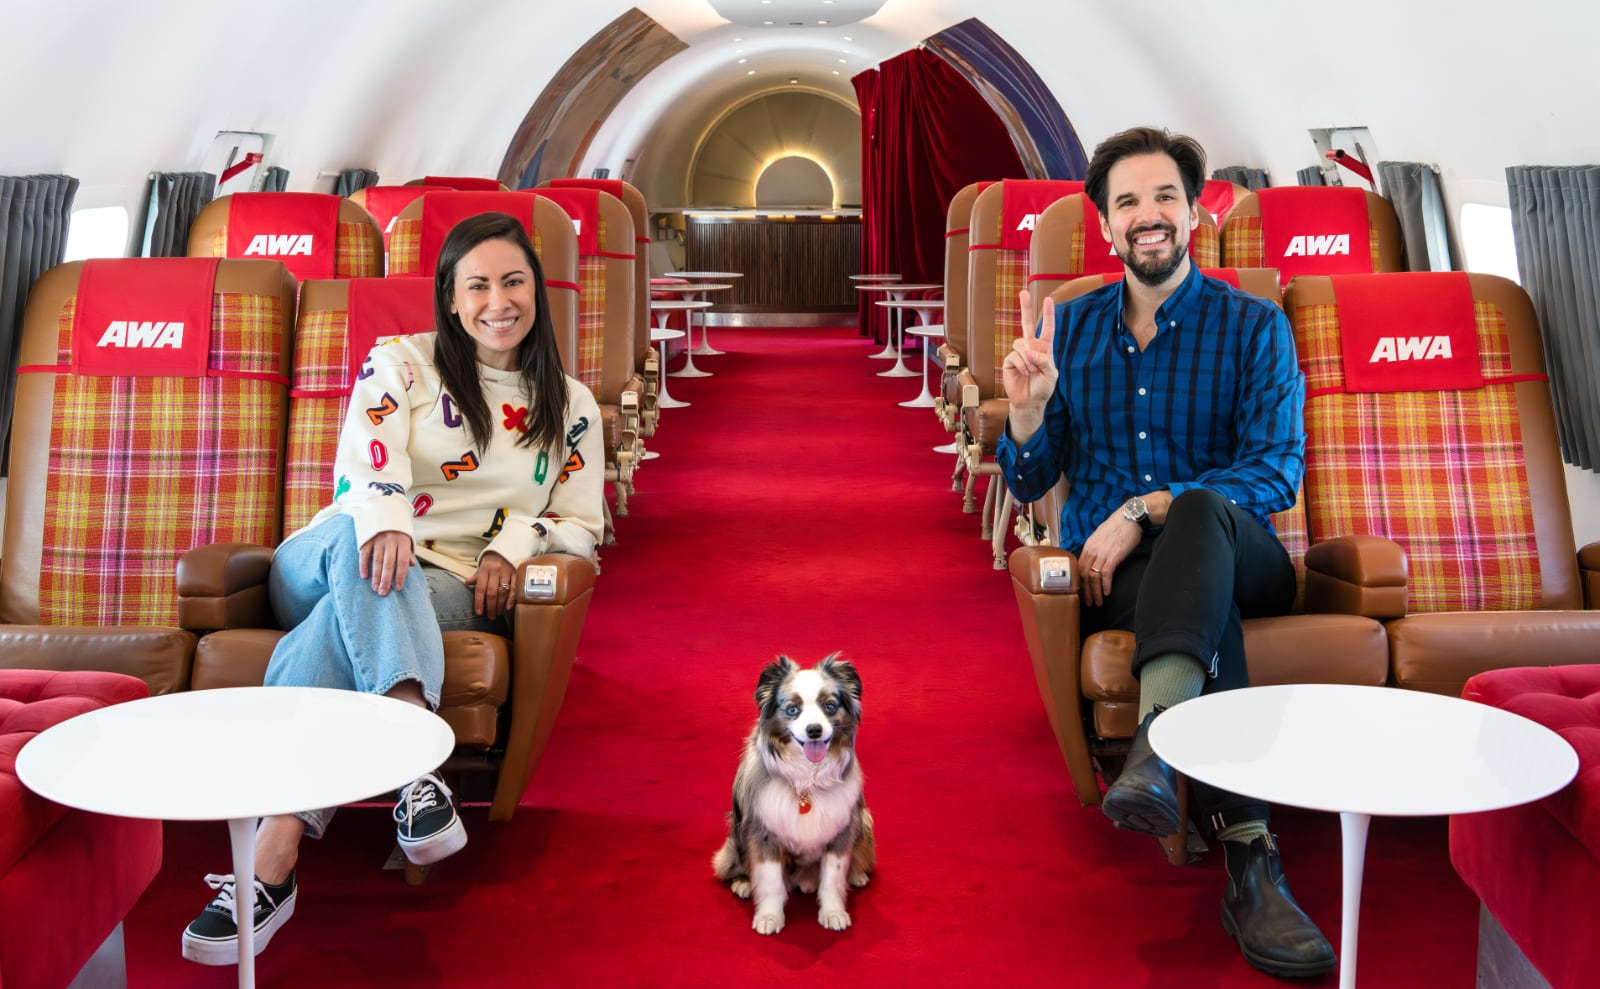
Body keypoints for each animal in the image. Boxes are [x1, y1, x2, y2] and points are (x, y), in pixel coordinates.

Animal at [713, 649, 876, 928]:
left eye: (829, 706)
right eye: (792, 709)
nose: (814, 730)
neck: (806, 779)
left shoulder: (840, 828)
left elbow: (832, 879)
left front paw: (833, 913)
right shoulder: (765, 832)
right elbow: (770, 882)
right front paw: (769, 917)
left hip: (863, 819)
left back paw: (856, 875)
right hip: (737, 829)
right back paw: (743, 883)